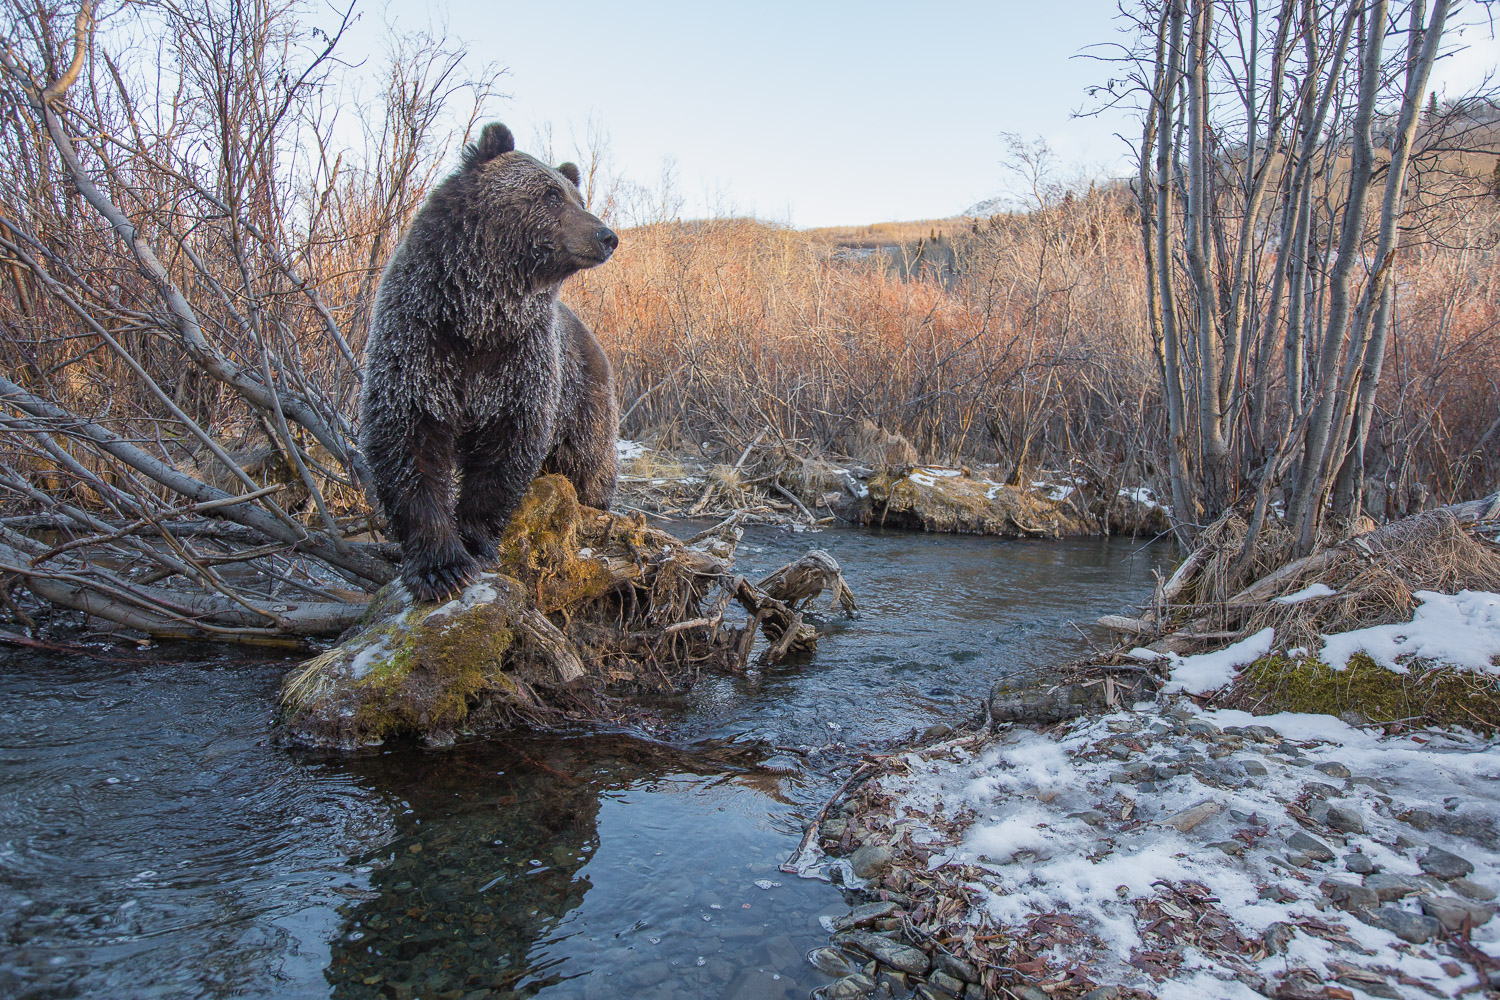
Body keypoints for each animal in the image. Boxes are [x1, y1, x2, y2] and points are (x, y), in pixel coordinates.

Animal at [360, 118, 618, 602]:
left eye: (578, 199)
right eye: (550, 195)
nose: (606, 236)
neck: (478, 315)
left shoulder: (519, 361)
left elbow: (506, 449)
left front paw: (474, 542)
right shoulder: (420, 342)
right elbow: (409, 443)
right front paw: (440, 566)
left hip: (585, 399)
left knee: (587, 464)